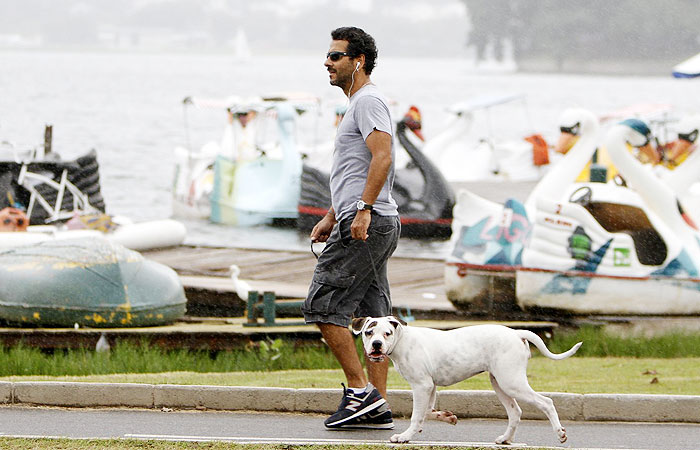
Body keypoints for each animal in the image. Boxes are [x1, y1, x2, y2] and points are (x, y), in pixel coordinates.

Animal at [352, 314, 584, 444]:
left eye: (387, 333)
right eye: (369, 332)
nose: (376, 345)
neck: (402, 340)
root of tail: (516, 333)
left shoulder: (421, 385)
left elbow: (416, 415)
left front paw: (405, 436)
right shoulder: (430, 386)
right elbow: (426, 411)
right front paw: (446, 417)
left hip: (511, 382)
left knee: (546, 402)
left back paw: (560, 433)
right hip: (500, 383)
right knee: (515, 412)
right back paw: (506, 439)